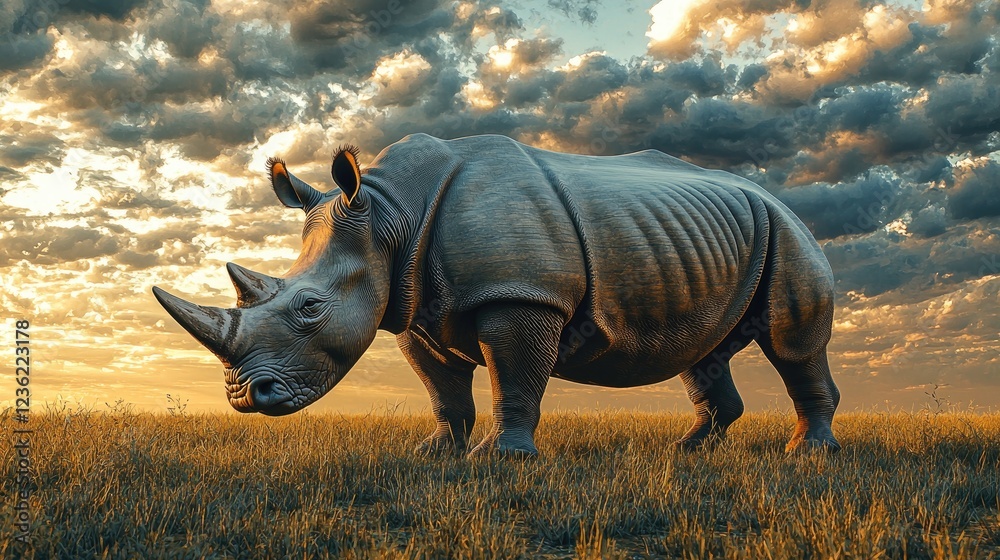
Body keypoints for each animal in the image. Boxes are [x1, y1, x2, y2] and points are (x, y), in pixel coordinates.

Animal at [153, 133, 841, 456]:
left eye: (309, 308)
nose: (245, 398)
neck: (388, 216)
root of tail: (777, 197)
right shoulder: (412, 307)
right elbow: (442, 389)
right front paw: (436, 453)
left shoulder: (523, 295)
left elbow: (513, 376)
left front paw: (499, 459)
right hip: (712, 240)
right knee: (703, 353)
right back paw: (686, 453)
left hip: (789, 234)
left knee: (790, 341)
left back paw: (806, 454)